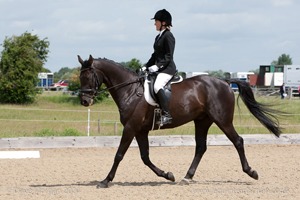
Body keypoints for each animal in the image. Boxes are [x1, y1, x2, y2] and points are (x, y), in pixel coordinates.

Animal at [77, 54, 282, 188]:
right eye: (80, 77)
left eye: (88, 76)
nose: (85, 101)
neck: (130, 91)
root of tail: (224, 82)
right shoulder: (140, 130)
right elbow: (145, 157)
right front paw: (168, 175)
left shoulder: (130, 127)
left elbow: (119, 154)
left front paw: (105, 181)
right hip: (202, 121)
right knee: (201, 147)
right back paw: (187, 177)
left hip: (222, 120)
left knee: (238, 141)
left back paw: (251, 172)